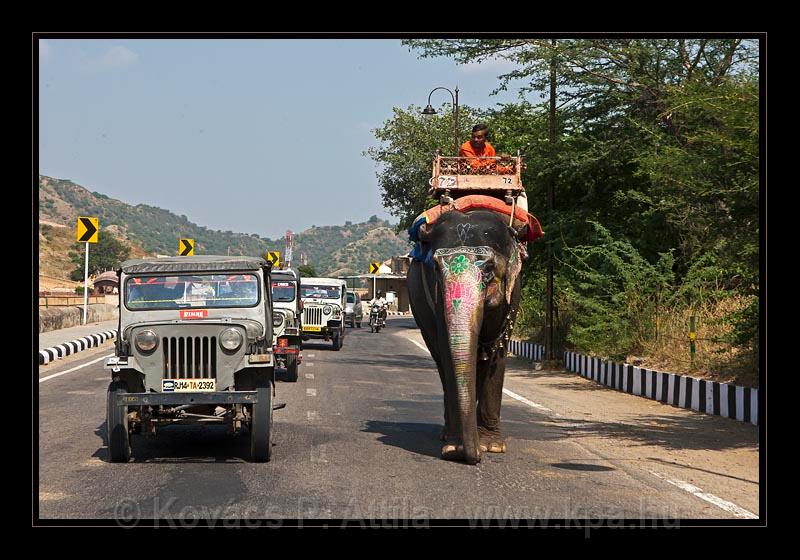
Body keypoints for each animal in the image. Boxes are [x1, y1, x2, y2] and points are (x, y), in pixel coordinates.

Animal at [410, 208, 536, 466]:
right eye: (435, 268)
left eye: (488, 269)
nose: (473, 456)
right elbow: (448, 352)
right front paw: (452, 446)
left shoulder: (512, 297)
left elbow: (497, 353)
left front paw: (493, 446)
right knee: (441, 360)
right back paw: (447, 433)